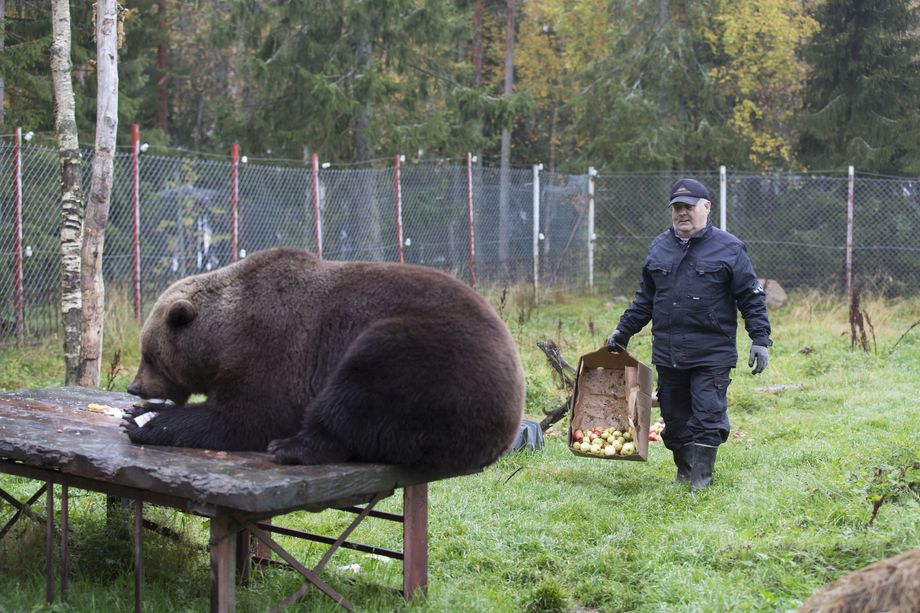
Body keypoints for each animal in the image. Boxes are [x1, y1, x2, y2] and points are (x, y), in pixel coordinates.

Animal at [123, 246, 524, 470]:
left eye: (150, 356)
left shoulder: (273, 347)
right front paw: (139, 413)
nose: (134, 387)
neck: (223, 339)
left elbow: (249, 417)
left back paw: (290, 447)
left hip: (431, 358)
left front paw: (145, 423)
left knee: (359, 392)